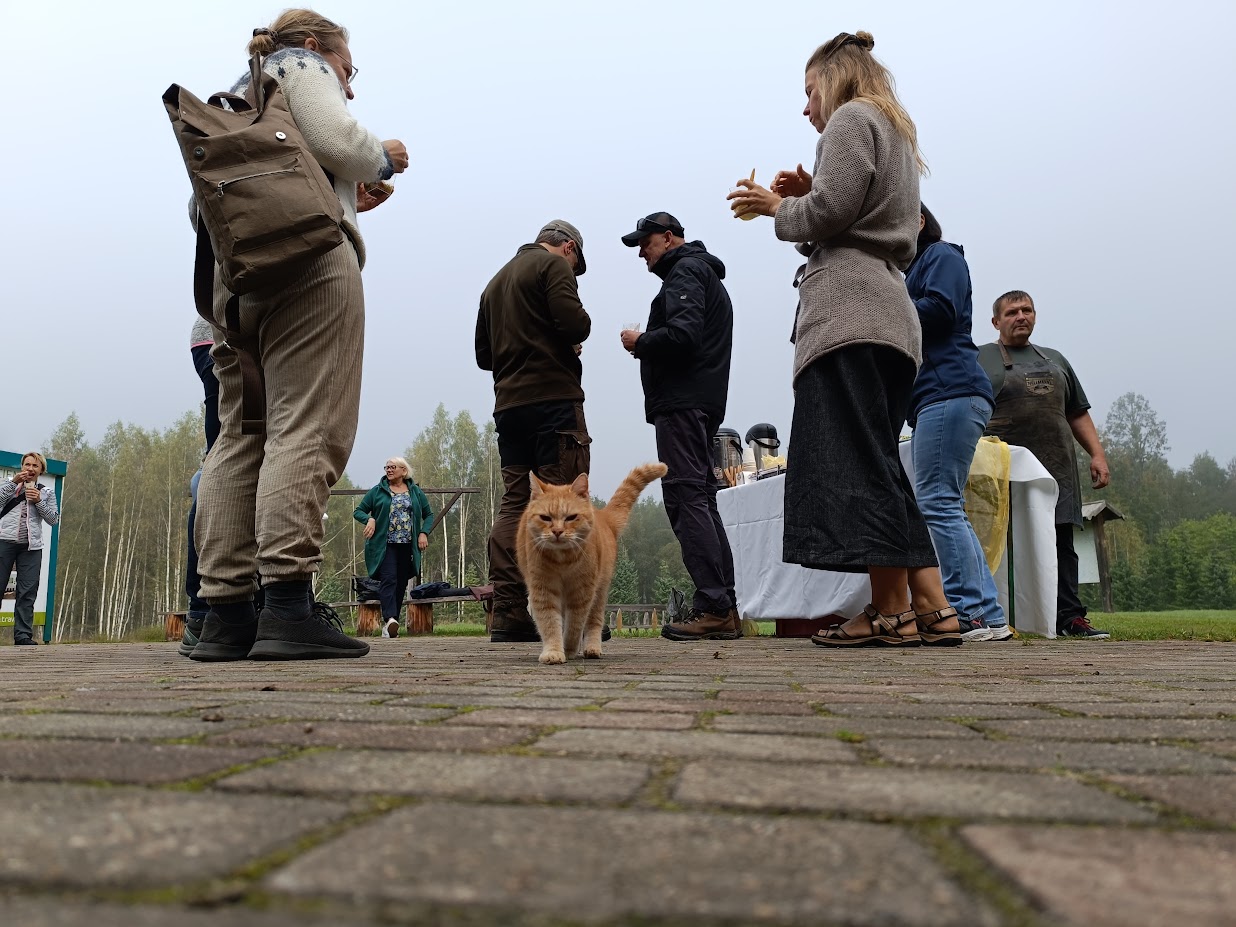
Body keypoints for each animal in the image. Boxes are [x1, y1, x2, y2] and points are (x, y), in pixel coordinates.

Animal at [514, 467, 667, 662]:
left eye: (571, 517)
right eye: (545, 518)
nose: (557, 531)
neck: (562, 560)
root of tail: (604, 517)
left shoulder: (582, 591)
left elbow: (575, 625)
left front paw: (569, 649)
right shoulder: (543, 589)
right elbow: (549, 623)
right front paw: (554, 651)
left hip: (599, 592)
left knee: (594, 622)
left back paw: (591, 648)